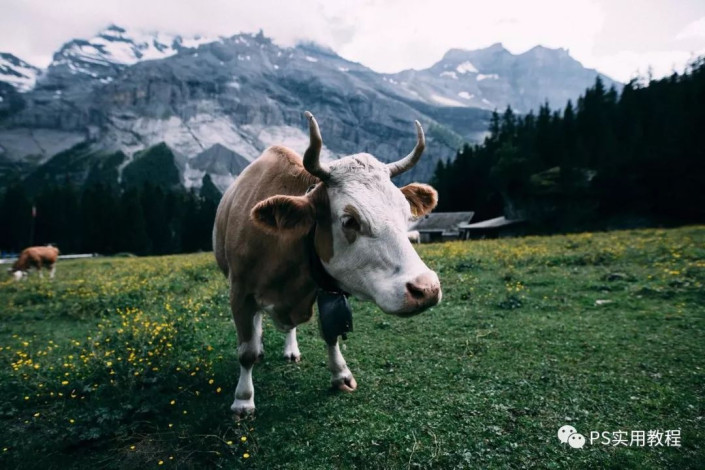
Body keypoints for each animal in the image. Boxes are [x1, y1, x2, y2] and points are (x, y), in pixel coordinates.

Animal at [212, 112, 440, 416]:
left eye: (406, 213)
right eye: (349, 220)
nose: (426, 289)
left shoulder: (325, 289)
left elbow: (331, 332)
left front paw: (341, 374)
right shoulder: (239, 293)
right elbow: (245, 351)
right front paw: (243, 399)